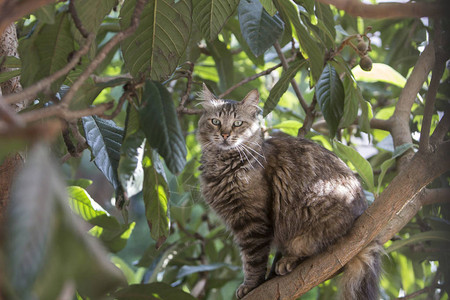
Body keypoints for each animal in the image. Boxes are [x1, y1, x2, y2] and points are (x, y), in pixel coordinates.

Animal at [196, 84, 380, 300]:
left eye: (237, 123)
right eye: (215, 122)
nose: (225, 135)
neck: (223, 165)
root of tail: (362, 212)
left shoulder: (253, 221)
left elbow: (253, 260)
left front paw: (250, 285)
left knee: (316, 247)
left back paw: (288, 261)